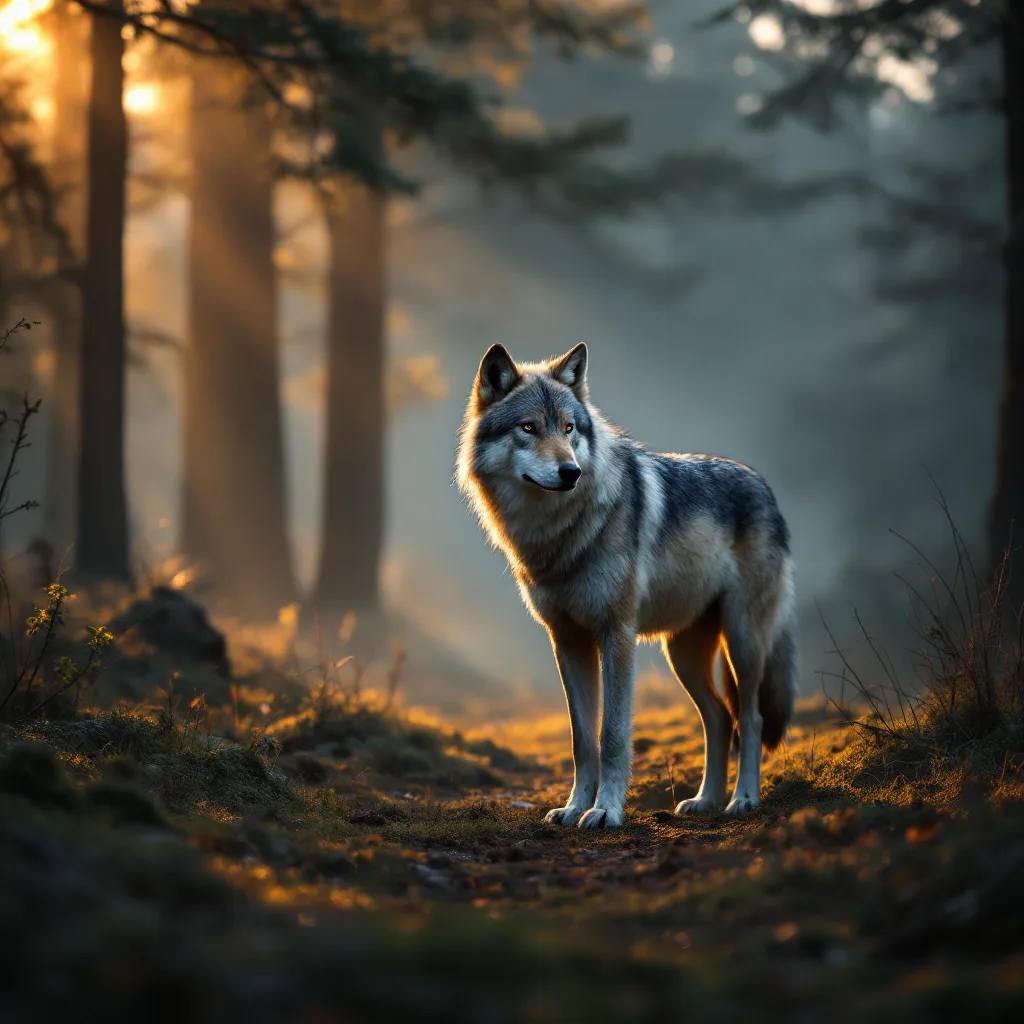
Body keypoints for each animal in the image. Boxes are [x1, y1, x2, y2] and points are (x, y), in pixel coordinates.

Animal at [457, 343, 797, 828]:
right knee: (718, 718)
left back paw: (743, 800)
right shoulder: (567, 641)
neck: (558, 534)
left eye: (569, 428)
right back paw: (705, 801)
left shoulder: (616, 635)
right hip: (683, 655)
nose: (571, 472)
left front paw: (605, 810)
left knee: (749, 719)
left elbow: (612, 734)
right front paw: (575, 806)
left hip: (743, 642)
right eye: (528, 428)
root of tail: (763, 485)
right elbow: (582, 739)